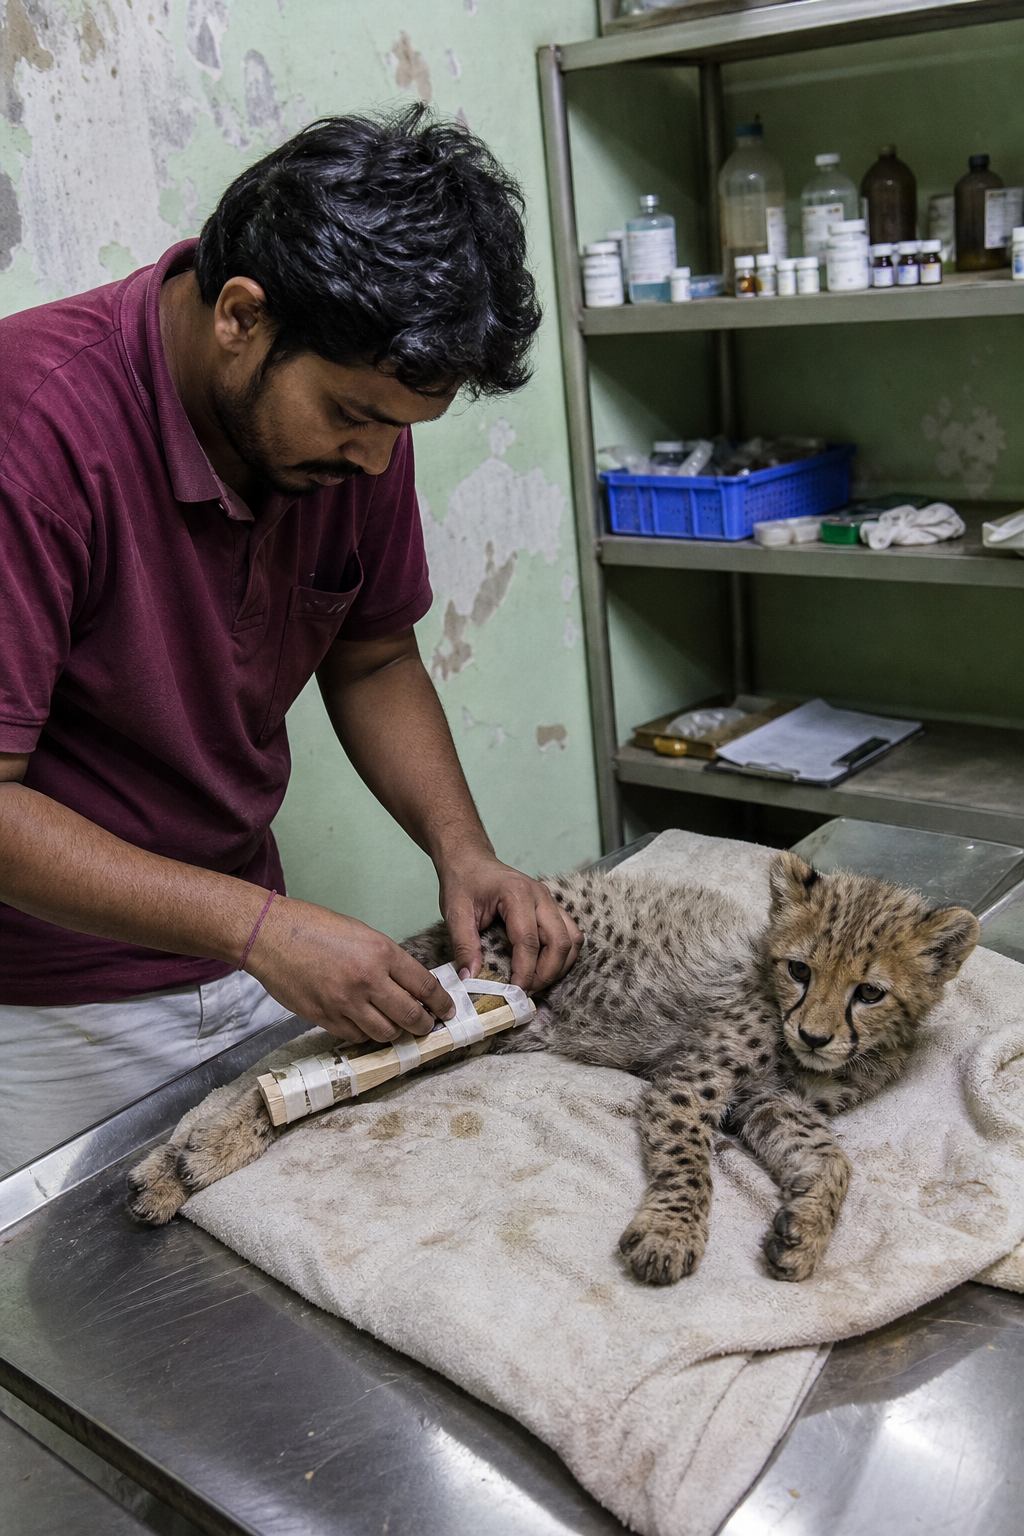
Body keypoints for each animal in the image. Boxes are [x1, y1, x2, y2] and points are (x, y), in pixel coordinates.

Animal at [127, 851, 978, 1285]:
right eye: (800, 970)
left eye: (869, 991)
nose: (814, 1034)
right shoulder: (691, 1083)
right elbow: (689, 1165)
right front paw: (671, 1233)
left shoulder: (766, 1103)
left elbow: (834, 1162)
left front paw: (805, 1231)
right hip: (449, 1006)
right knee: (286, 1068)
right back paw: (193, 1156)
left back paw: (173, 1167)